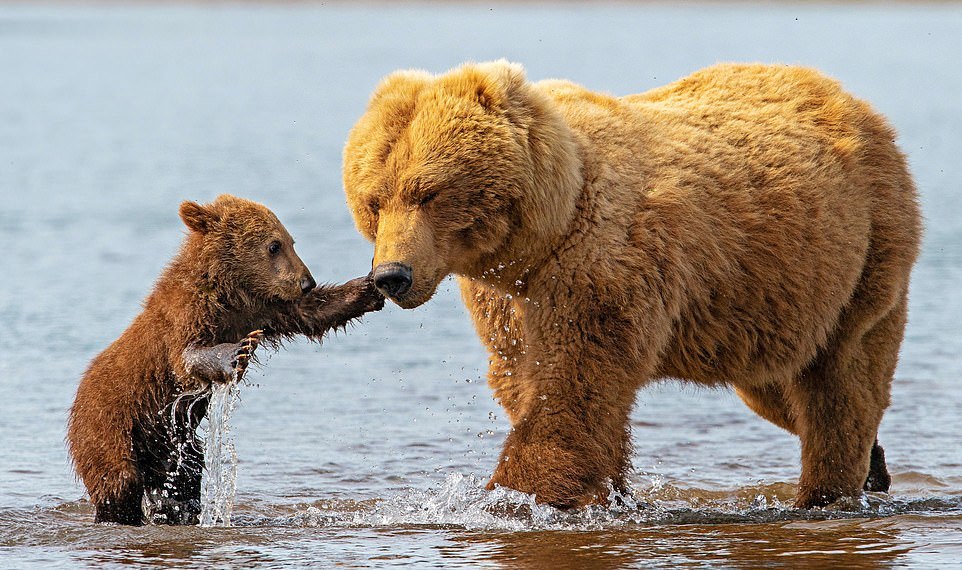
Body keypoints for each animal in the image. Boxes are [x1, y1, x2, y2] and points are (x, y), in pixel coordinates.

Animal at [68, 195, 382, 524]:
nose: (306, 281)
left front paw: (370, 284)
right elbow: (187, 357)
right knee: (120, 480)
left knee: (183, 480)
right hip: (109, 426)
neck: (230, 289)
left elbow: (314, 312)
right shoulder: (187, 314)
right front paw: (239, 352)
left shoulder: (263, 309)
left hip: (169, 447)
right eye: (274, 245)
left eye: (290, 241)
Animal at [342, 61, 920, 506]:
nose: (391, 276)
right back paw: (874, 462)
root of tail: (851, 100)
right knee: (778, 389)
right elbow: (528, 379)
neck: (545, 230)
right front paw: (606, 490)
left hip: (863, 258)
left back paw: (830, 487)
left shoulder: (597, 267)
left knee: (840, 384)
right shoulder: (505, 302)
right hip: (766, 305)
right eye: (375, 199)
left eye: (429, 192)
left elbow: (571, 387)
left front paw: (513, 497)